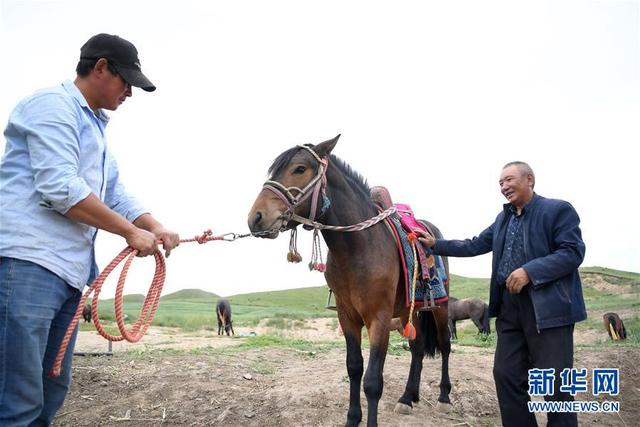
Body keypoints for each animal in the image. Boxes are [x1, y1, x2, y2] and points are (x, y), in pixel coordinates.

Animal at [245, 135, 450, 426]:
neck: (359, 246)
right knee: (418, 347)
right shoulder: (346, 315)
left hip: (441, 307)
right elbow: (354, 368)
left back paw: (444, 397)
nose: (256, 217)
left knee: (444, 345)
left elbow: (373, 381)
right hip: (410, 311)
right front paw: (352, 418)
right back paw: (408, 397)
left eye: (299, 169)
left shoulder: (379, 318)